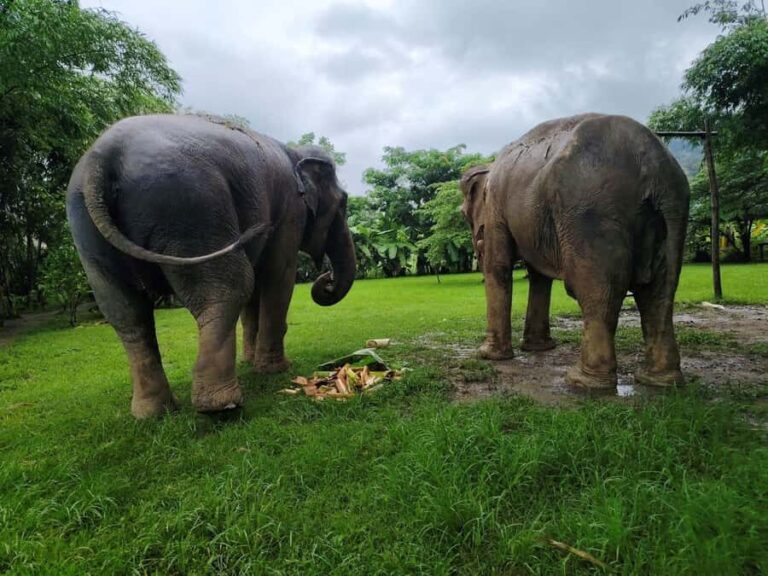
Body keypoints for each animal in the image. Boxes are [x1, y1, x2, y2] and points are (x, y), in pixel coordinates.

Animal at [66, 114, 355, 418]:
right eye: (343, 202)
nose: (327, 279)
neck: (293, 151)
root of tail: (102, 159)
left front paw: (249, 362)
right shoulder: (290, 211)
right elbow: (278, 276)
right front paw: (277, 370)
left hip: (88, 233)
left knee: (125, 311)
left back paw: (154, 413)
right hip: (191, 208)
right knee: (230, 287)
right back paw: (220, 406)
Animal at [460, 113, 690, 389]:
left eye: (464, 214)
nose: (477, 246)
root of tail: (654, 166)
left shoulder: (495, 205)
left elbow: (499, 266)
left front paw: (488, 355)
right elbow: (539, 276)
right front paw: (539, 348)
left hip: (589, 213)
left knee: (598, 292)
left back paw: (583, 381)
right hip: (670, 216)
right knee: (658, 292)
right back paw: (660, 380)